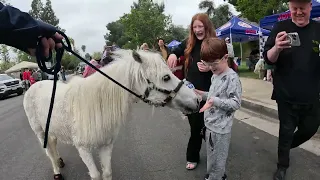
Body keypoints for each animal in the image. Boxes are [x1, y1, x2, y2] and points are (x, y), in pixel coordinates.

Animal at [23, 49, 200, 180]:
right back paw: (57, 171)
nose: (197, 100)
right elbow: (95, 175)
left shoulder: (106, 145)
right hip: (39, 131)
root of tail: (33, 86)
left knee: (53, 144)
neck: (95, 103)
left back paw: (59, 162)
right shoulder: (83, 149)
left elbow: (107, 173)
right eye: (166, 77)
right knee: (49, 152)